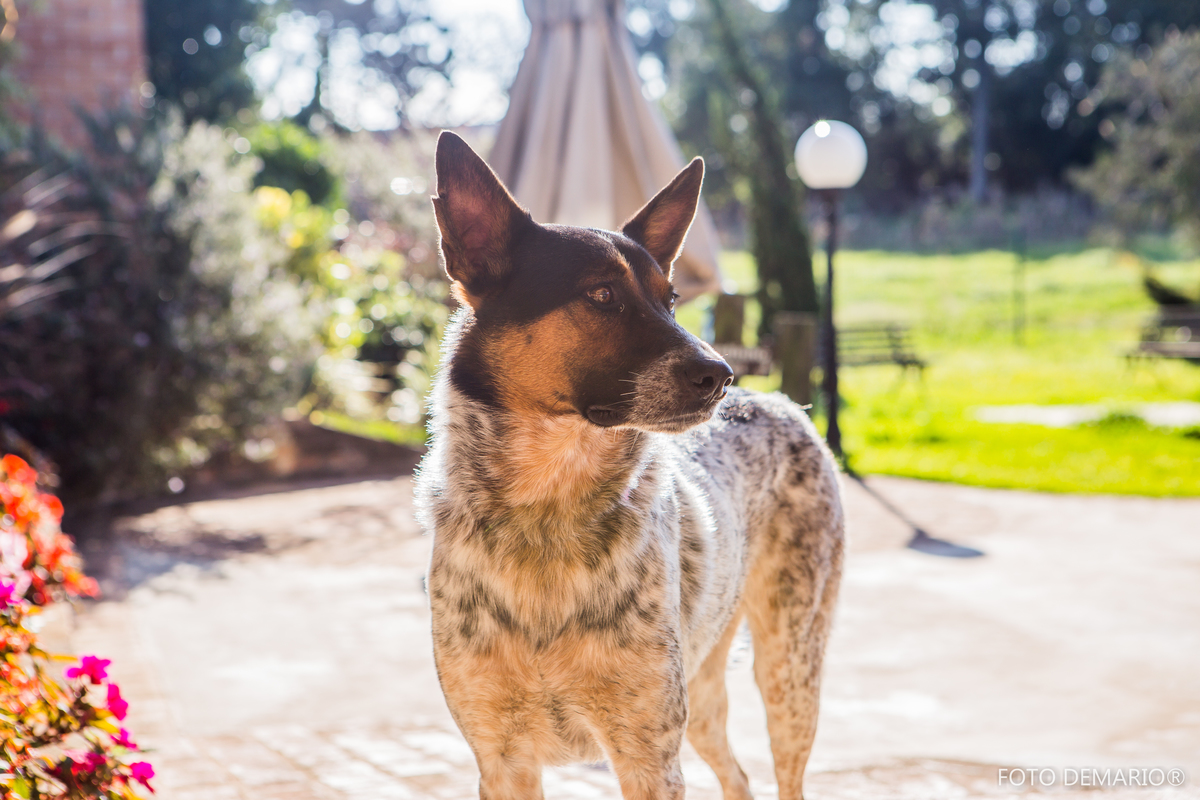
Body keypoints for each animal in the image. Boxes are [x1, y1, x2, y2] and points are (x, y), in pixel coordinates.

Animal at [414, 131, 844, 800]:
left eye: (671, 299)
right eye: (602, 295)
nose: (720, 376)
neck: (545, 515)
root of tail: (779, 400)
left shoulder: (648, 756)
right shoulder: (501, 757)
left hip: (789, 669)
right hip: (706, 693)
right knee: (738, 775)